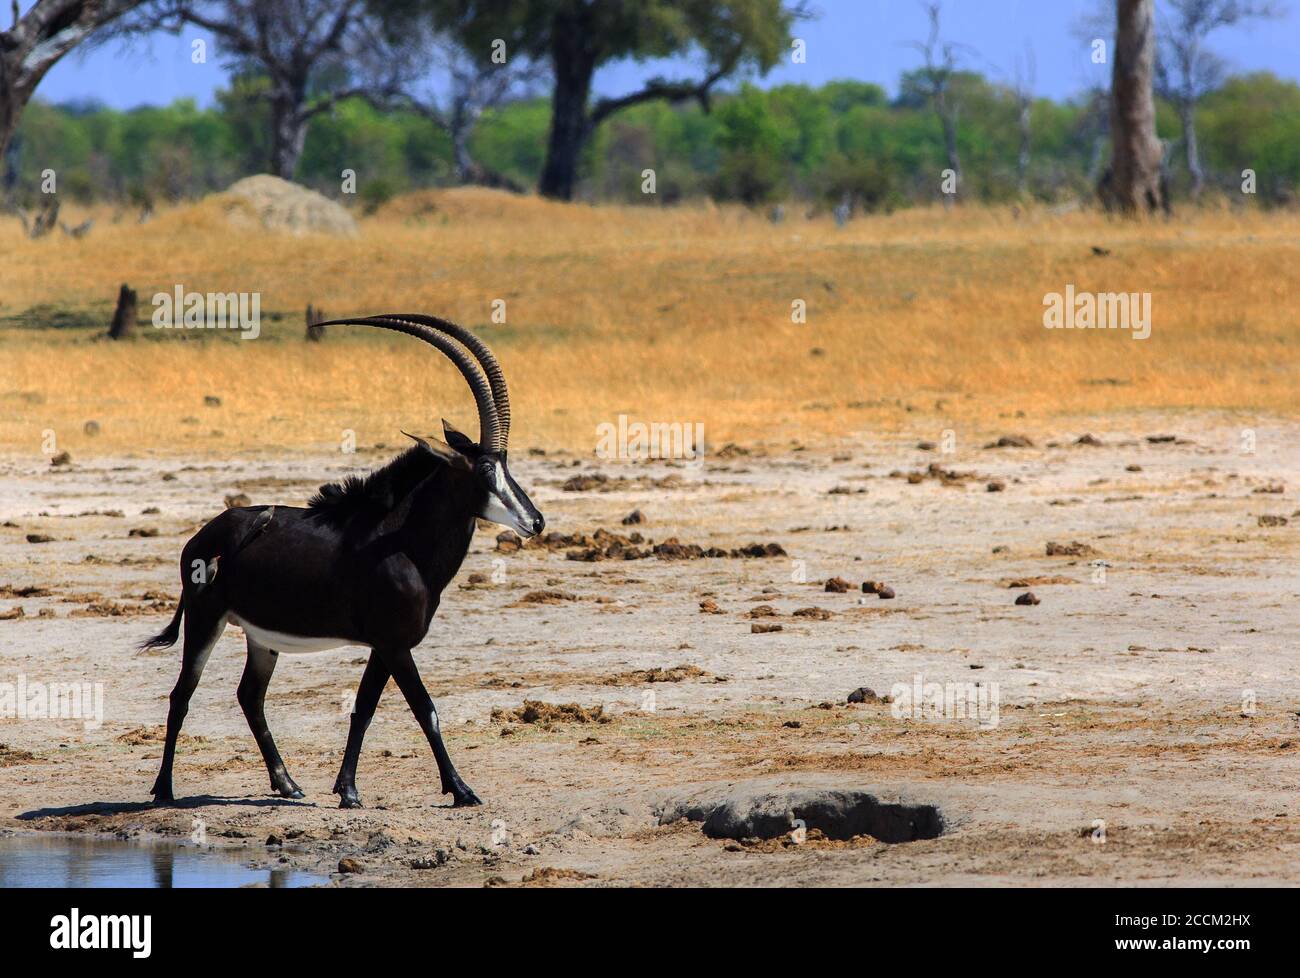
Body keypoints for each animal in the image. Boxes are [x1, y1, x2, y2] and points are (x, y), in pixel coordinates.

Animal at [141, 314, 543, 811]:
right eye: (485, 471)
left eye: (507, 465)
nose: (535, 521)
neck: (399, 541)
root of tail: (202, 536)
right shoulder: (394, 644)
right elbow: (424, 709)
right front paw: (461, 790)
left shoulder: (385, 646)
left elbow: (363, 708)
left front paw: (347, 789)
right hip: (204, 620)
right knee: (182, 695)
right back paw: (163, 790)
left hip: (261, 639)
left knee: (249, 696)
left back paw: (287, 784)